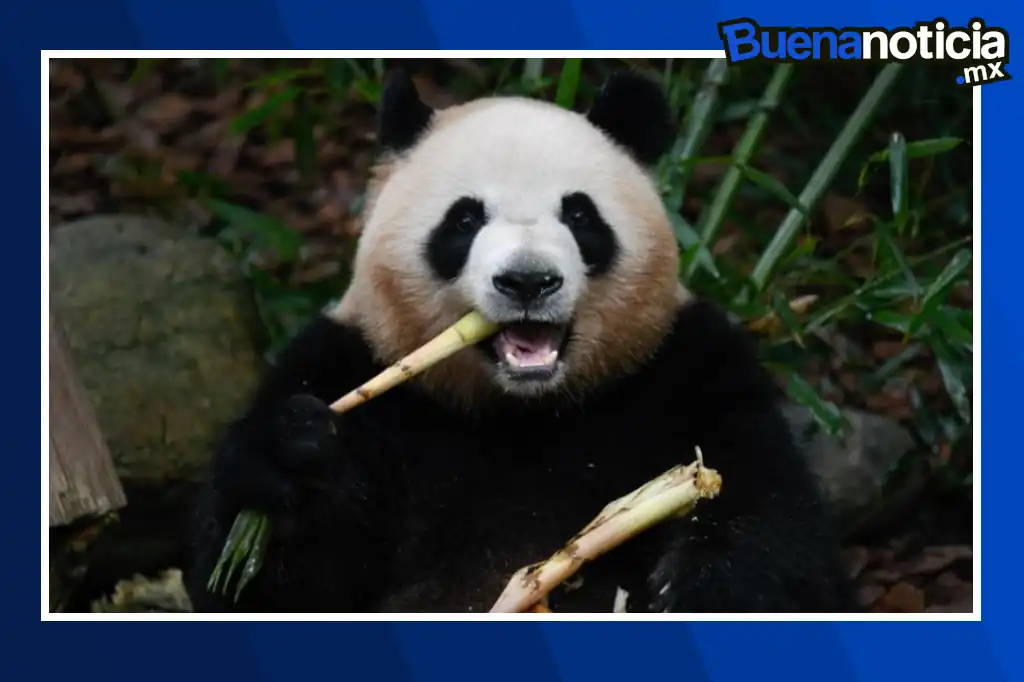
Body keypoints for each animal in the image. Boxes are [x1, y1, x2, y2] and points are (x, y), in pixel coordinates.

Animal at [184, 69, 856, 613]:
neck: (523, 410)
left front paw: (695, 585)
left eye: (580, 215)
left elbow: (775, 523)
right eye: (464, 219)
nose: (529, 280)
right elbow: (264, 584)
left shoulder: (684, 366)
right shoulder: (351, 368)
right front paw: (284, 460)